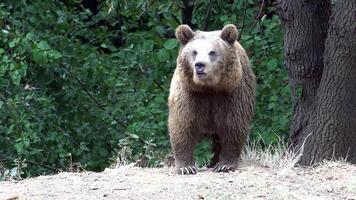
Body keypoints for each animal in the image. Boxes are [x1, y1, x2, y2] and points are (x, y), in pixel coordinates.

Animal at [169, 24, 256, 174]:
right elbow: (182, 124)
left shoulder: (233, 93)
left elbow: (234, 125)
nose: (199, 65)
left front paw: (225, 164)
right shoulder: (189, 93)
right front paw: (186, 167)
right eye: (194, 52)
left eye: (212, 52)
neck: (210, 88)